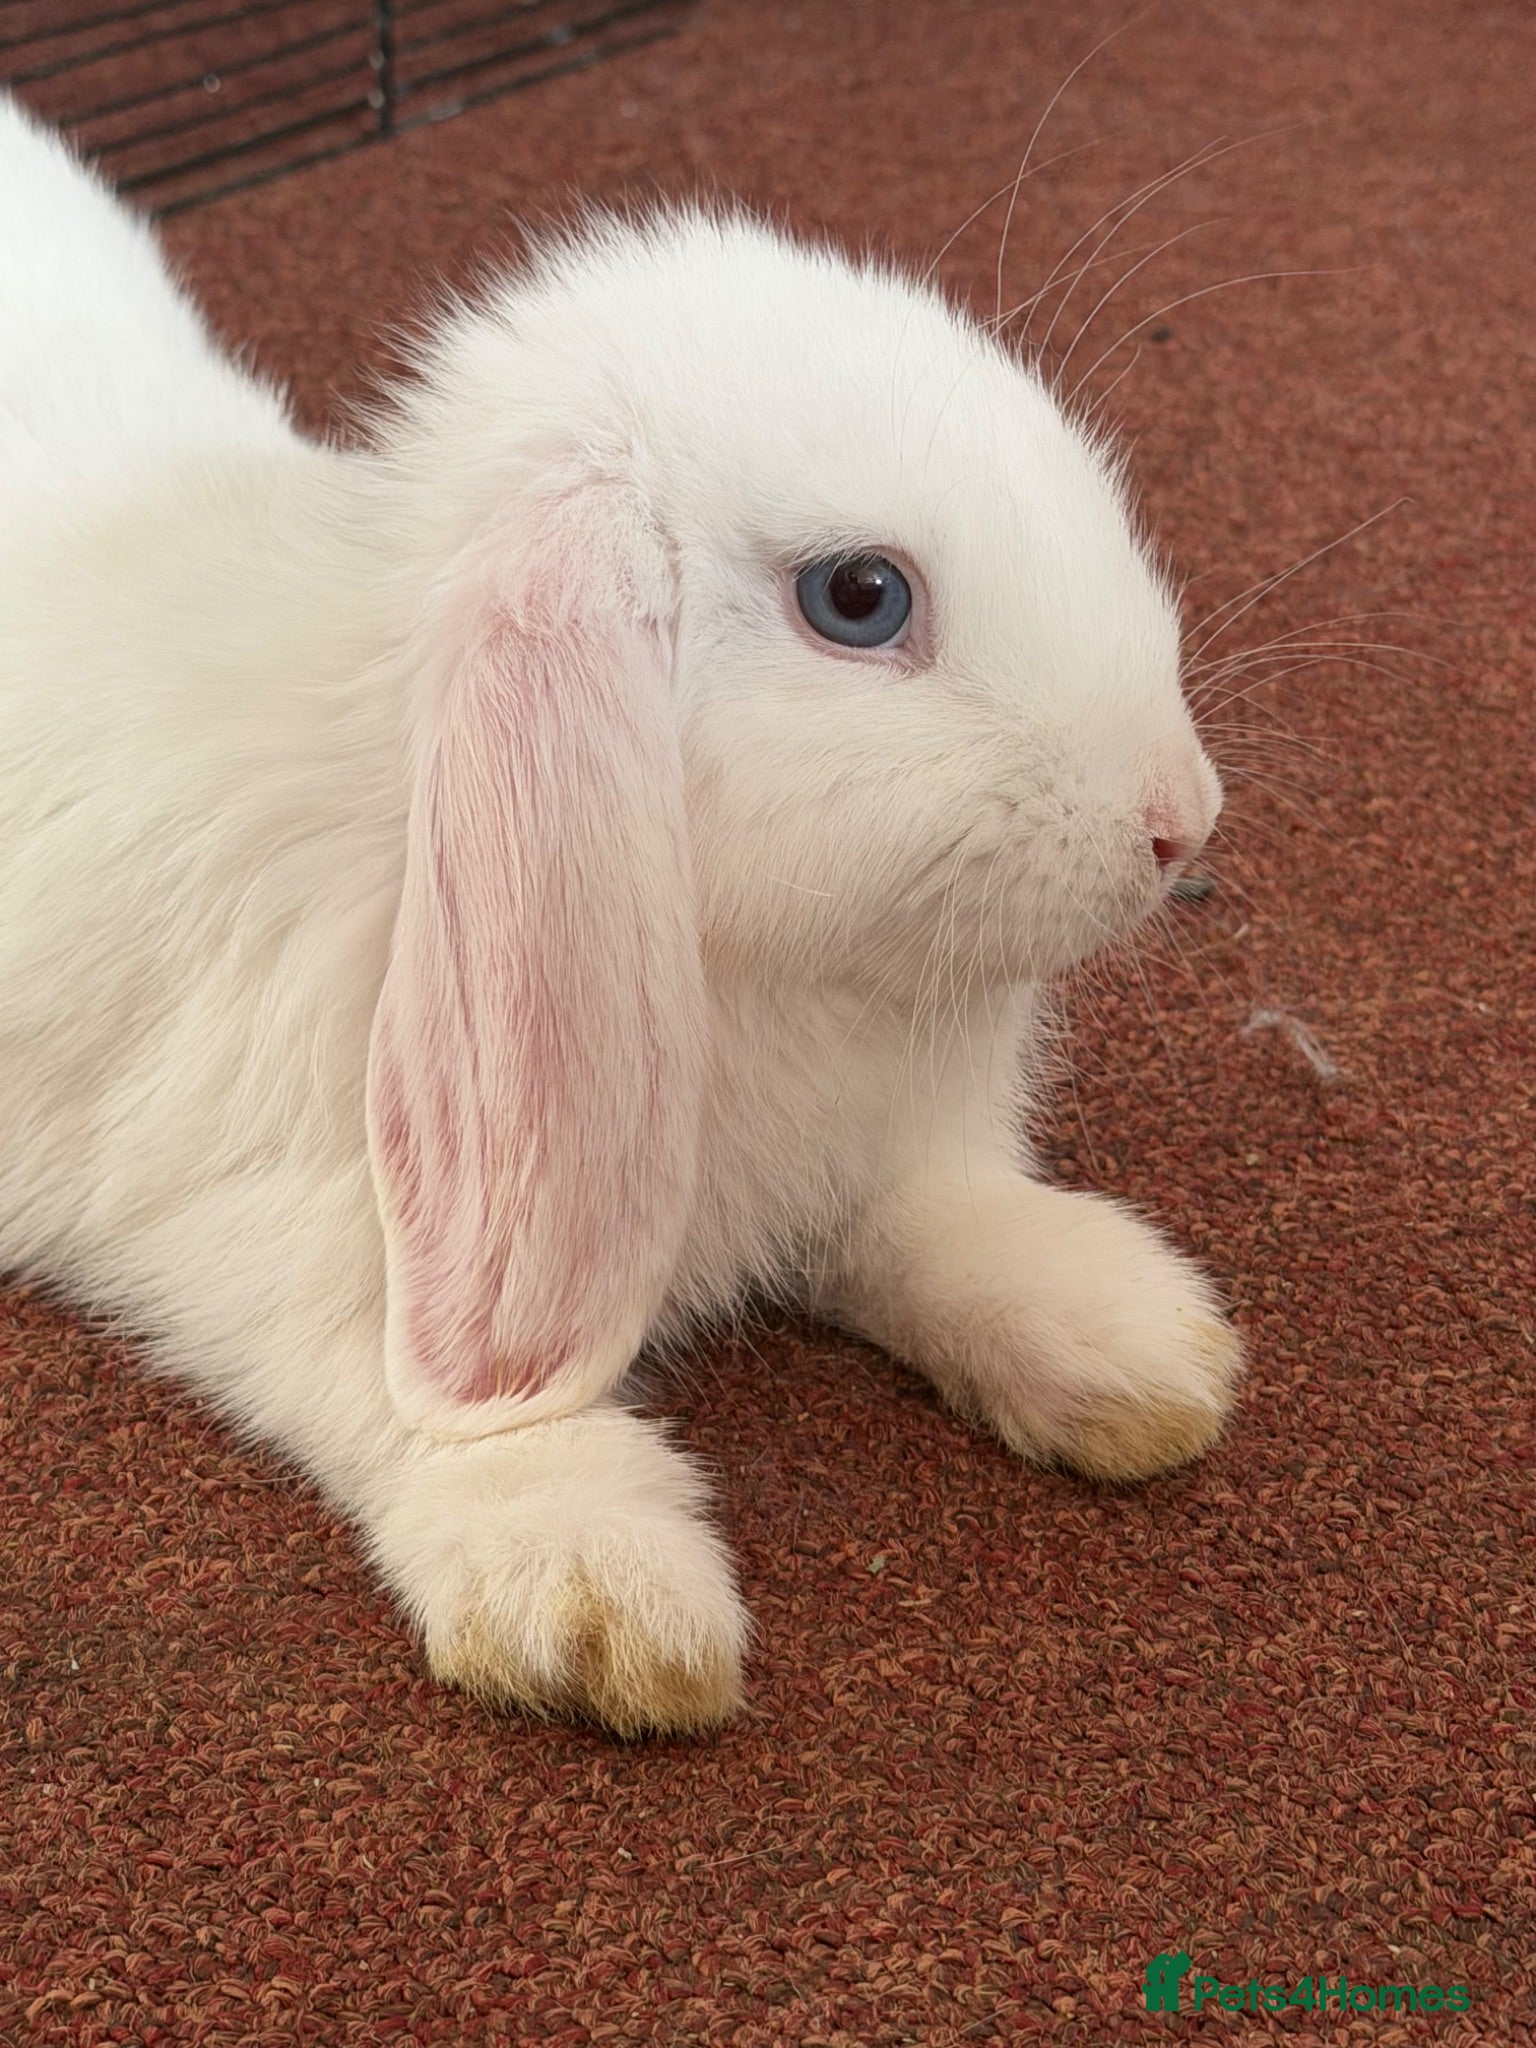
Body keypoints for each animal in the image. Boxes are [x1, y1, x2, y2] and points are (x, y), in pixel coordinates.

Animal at [0, 95, 1241, 1736]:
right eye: (860, 597)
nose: (1180, 818)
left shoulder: (866, 1153)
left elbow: (932, 1220)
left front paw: (1134, 1349)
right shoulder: (266, 1213)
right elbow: (424, 1398)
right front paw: (598, 1600)